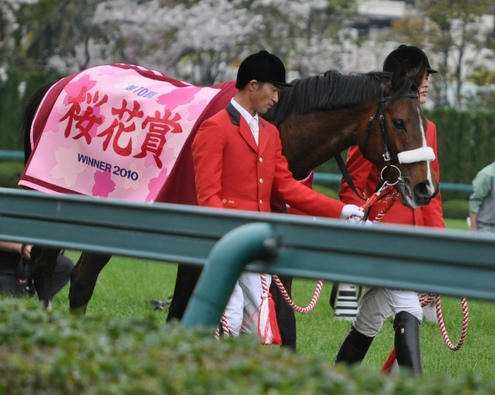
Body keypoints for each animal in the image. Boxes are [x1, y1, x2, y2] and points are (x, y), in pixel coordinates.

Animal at [20, 64, 438, 328]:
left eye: (423, 121)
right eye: (399, 122)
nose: (425, 188)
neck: (269, 127)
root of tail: (58, 84)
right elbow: (182, 312)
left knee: (78, 279)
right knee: (58, 274)